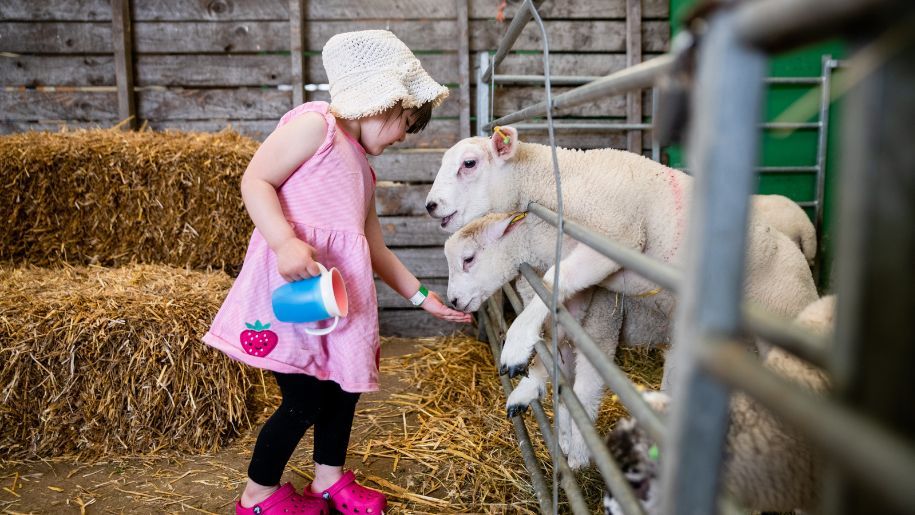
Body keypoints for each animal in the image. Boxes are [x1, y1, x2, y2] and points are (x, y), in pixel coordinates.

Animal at [426, 125, 820, 382]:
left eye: (469, 164)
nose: (430, 205)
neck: (565, 184)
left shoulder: (617, 238)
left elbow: (554, 280)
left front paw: (517, 344)